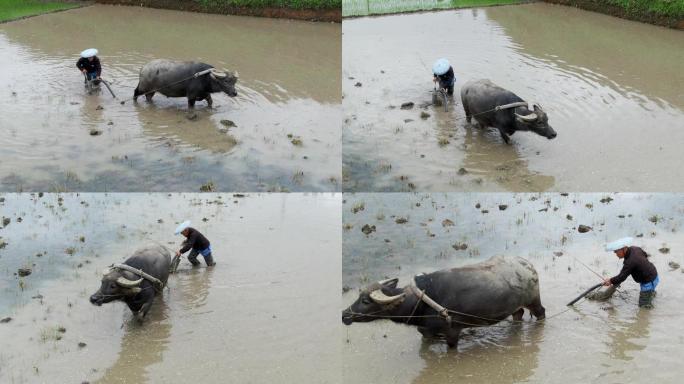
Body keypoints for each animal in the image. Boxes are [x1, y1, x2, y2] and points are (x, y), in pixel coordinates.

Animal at [342, 256, 544, 350]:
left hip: (534, 301)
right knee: (518, 314)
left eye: (365, 300)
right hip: (515, 307)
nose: (345, 315)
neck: (423, 300)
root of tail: (528, 265)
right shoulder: (426, 331)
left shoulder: (452, 331)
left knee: (541, 313)